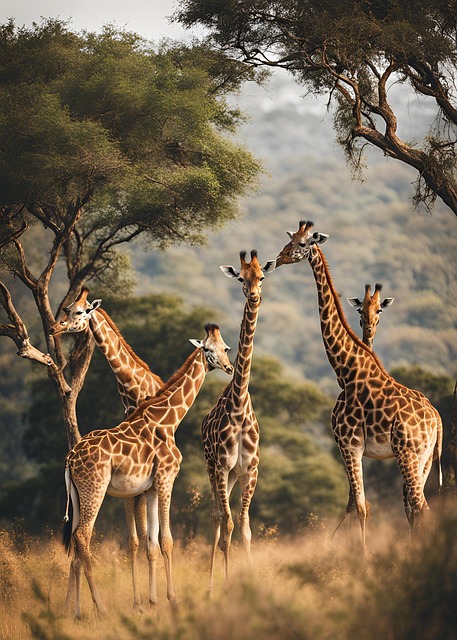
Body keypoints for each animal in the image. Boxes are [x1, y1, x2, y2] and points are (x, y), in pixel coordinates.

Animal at [50, 288, 164, 611]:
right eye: (66, 308)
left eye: (79, 312)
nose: (54, 328)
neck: (134, 391)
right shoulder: (132, 480)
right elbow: (135, 540)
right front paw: (139, 601)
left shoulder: (140, 478)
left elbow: (145, 538)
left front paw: (147, 600)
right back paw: (71, 605)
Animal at [62, 323, 233, 619]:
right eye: (215, 349)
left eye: (226, 348)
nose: (229, 367)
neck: (169, 420)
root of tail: (71, 459)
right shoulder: (166, 478)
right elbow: (167, 540)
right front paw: (172, 599)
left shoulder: (151, 487)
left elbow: (152, 543)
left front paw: (153, 602)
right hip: (94, 488)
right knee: (83, 536)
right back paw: (100, 608)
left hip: (77, 494)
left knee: (75, 544)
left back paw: (76, 612)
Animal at [275, 220, 442, 551]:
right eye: (290, 239)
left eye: (302, 244)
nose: (278, 258)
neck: (346, 370)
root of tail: (438, 421)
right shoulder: (354, 447)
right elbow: (357, 505)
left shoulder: (348, 442)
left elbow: (361, 507)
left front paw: (360, 556)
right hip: (425, 458)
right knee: (416, 506)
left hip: (408, 453)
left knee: (419, 507)